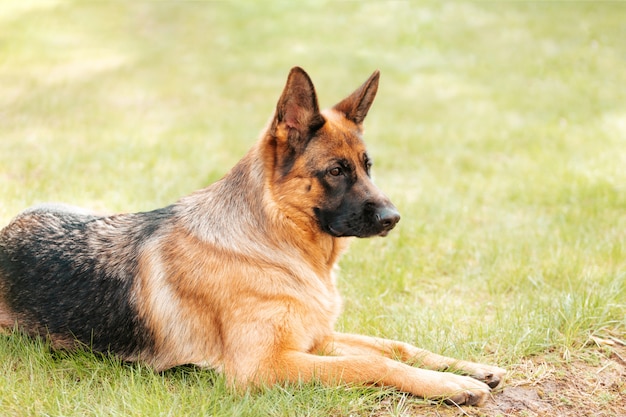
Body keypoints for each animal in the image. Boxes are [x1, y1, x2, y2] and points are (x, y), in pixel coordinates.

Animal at [0, 67, 502, 404]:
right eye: (336, 171)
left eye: (367, 166)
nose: (393, 218)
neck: (276, 244)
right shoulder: (264, 365)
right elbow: (370, 361)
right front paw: (452, 384)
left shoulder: (313, 340)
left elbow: (394, 346)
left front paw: (468, 368)